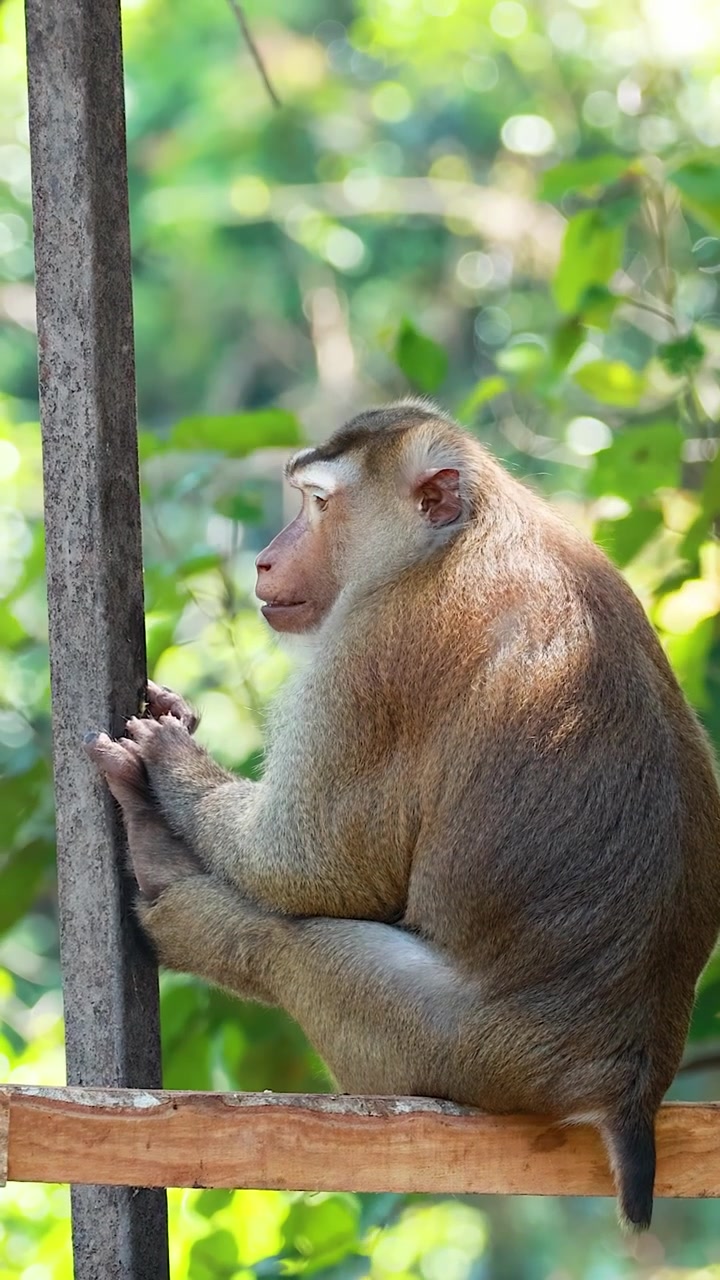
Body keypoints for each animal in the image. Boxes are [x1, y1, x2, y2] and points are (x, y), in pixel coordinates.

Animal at [85, 399, 720, 1231]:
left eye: (320, 503)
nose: (265, 560)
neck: (459, 533)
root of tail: (627, 1084)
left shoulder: (381, 643)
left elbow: (311, 865)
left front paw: (170, 760)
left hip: (462, 1048)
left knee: (292, 943)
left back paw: (169, 878)